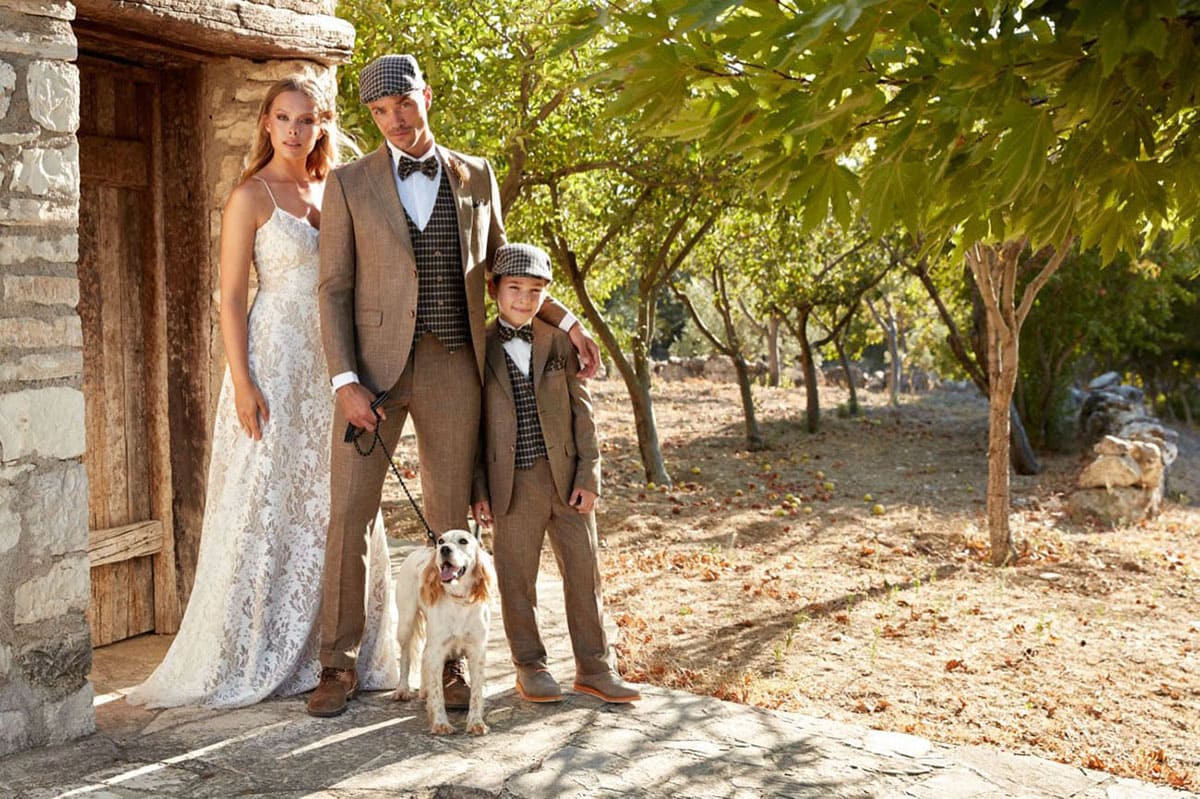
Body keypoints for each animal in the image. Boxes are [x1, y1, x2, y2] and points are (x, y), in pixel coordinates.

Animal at [388, 527, 492, 734]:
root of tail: (419, 550)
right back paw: (403, 689)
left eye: (463, 541)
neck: (459, 600)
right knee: (406, 657)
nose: (443, 549)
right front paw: (440, 723)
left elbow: (476, 692)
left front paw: (476, 722)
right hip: (406, 623)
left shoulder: (477, 651)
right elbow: (438, 692)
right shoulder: (438, 650)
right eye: (442, 540)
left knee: (423, 655)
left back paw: (423, 689)